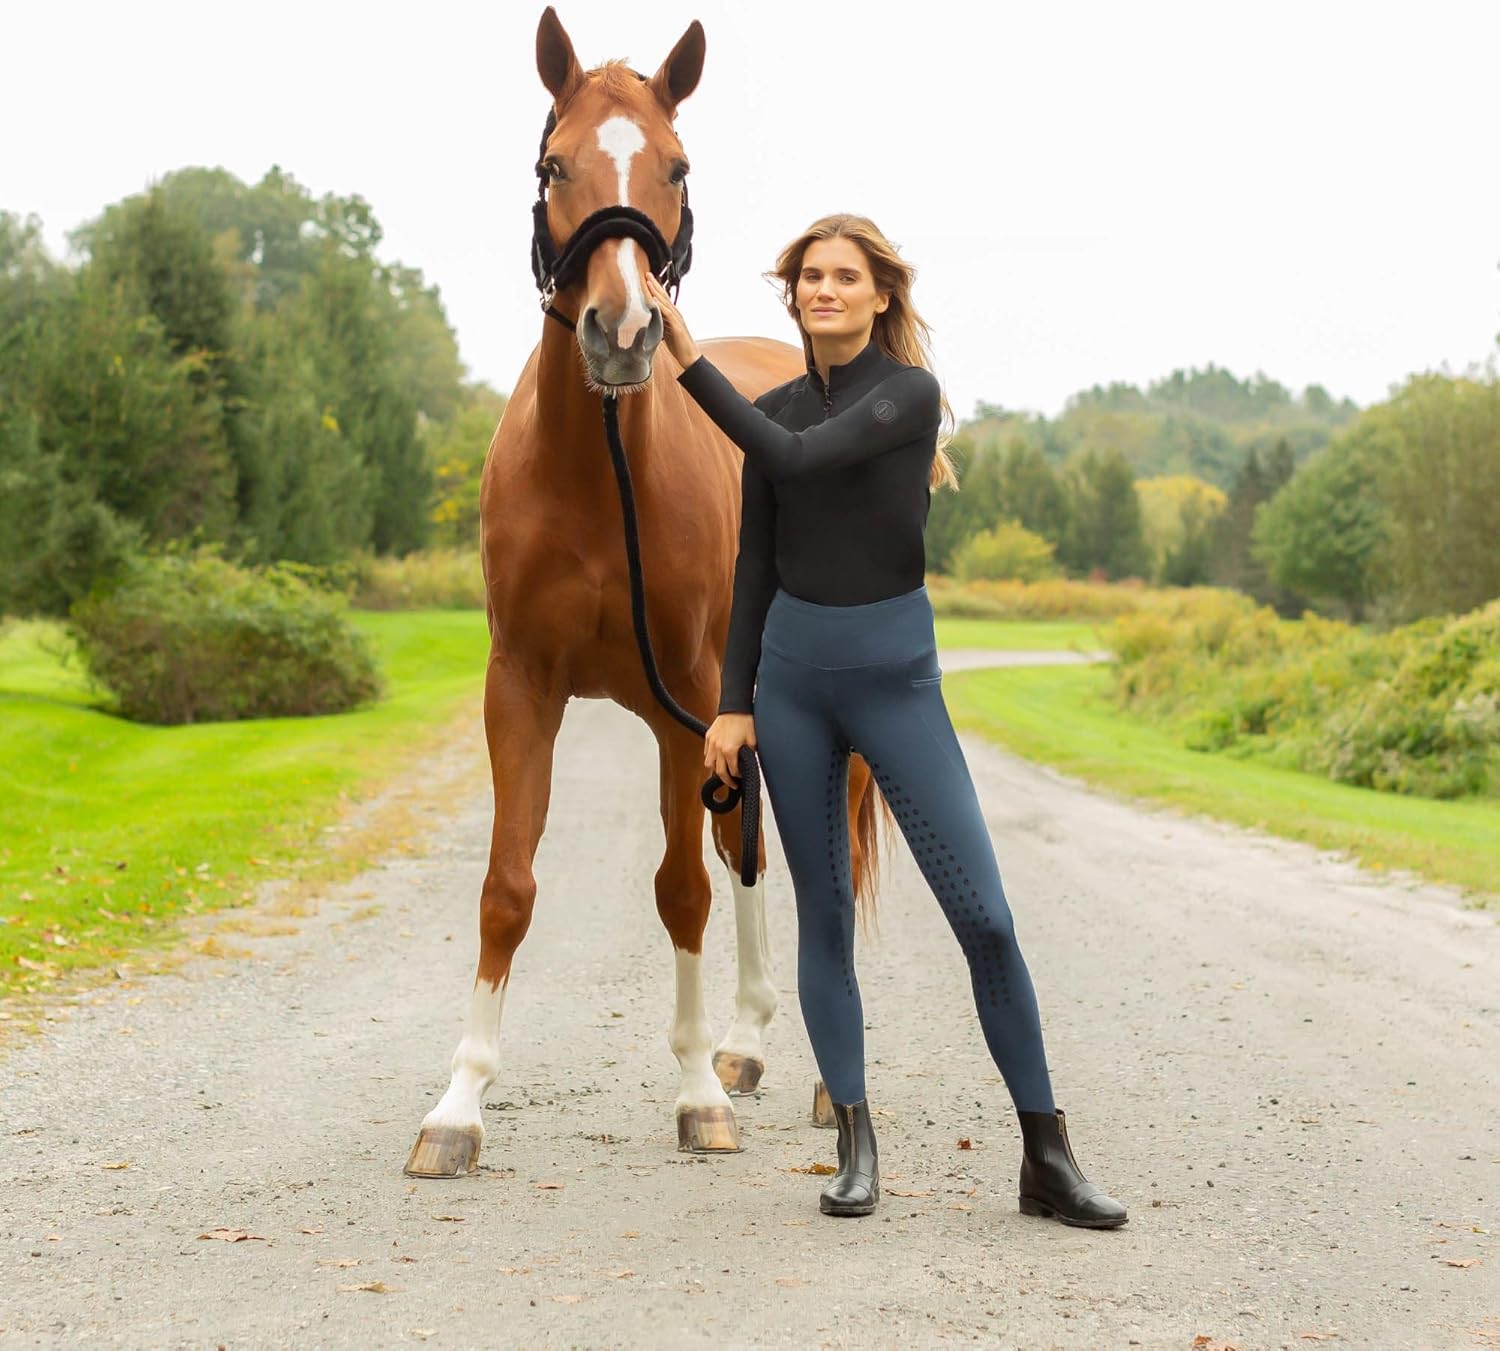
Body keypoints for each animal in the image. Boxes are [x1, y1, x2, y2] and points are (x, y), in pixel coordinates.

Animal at [405, 6, 894, 1177]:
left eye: (676, 166)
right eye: (553, 164)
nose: (623, 334)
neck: (599, 479)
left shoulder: (683, 705)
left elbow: (682, 889)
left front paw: (693, 1094)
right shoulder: (523, 689)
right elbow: (508, 888)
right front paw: (459, 1105)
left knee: (819, 864)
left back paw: (819, 1079)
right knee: (753, 844)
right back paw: (748, 1043)